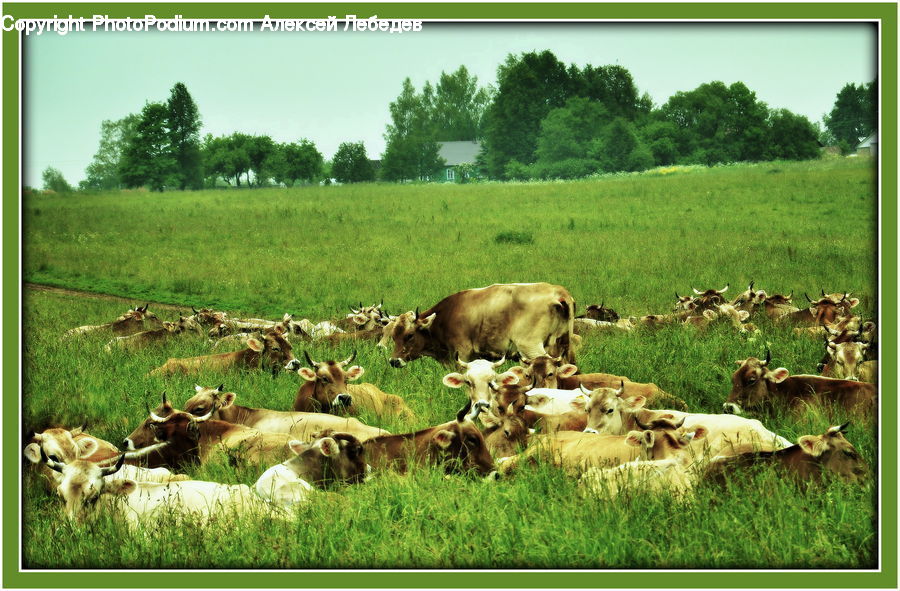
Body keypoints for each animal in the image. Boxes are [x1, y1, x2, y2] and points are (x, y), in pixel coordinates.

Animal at [387, 282, 576, 368]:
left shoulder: (462, 355)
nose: (393, 361)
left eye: (409, 335)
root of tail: (558, 292)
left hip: (531, 348)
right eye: (393, 337)